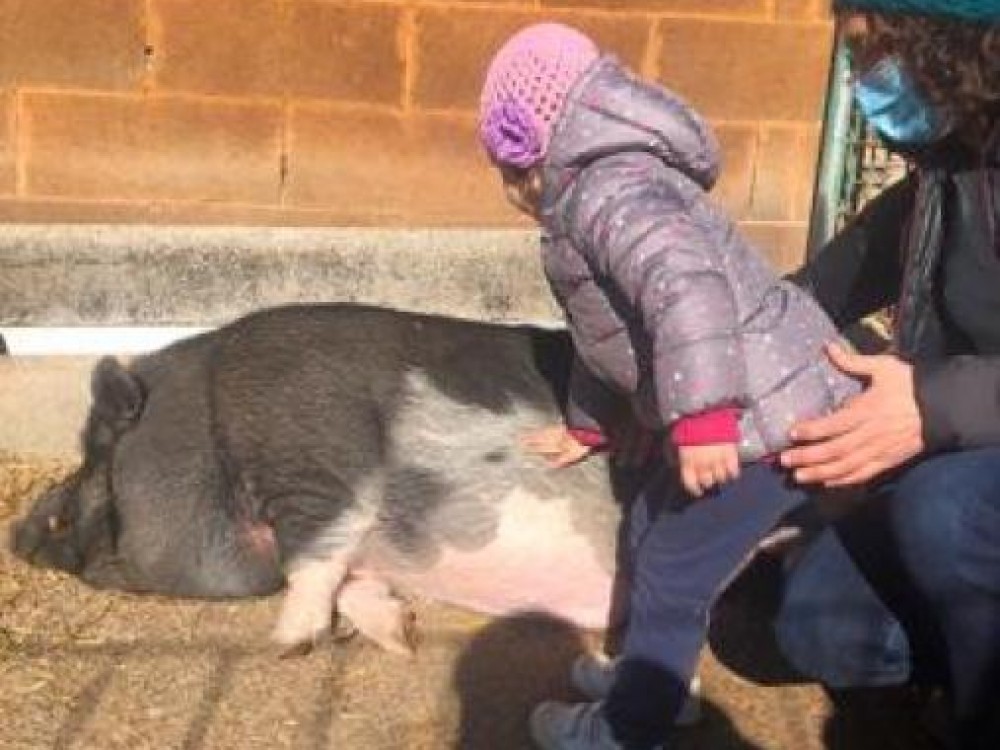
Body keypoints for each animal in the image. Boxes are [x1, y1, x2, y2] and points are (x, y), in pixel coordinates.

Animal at [10, 304, 633, 655]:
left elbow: (316, 548)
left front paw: (289, 644)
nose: (16, 531)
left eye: (96, 453)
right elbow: (346, 570)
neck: (206, 424)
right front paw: (401, 636)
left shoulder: (316, 453)